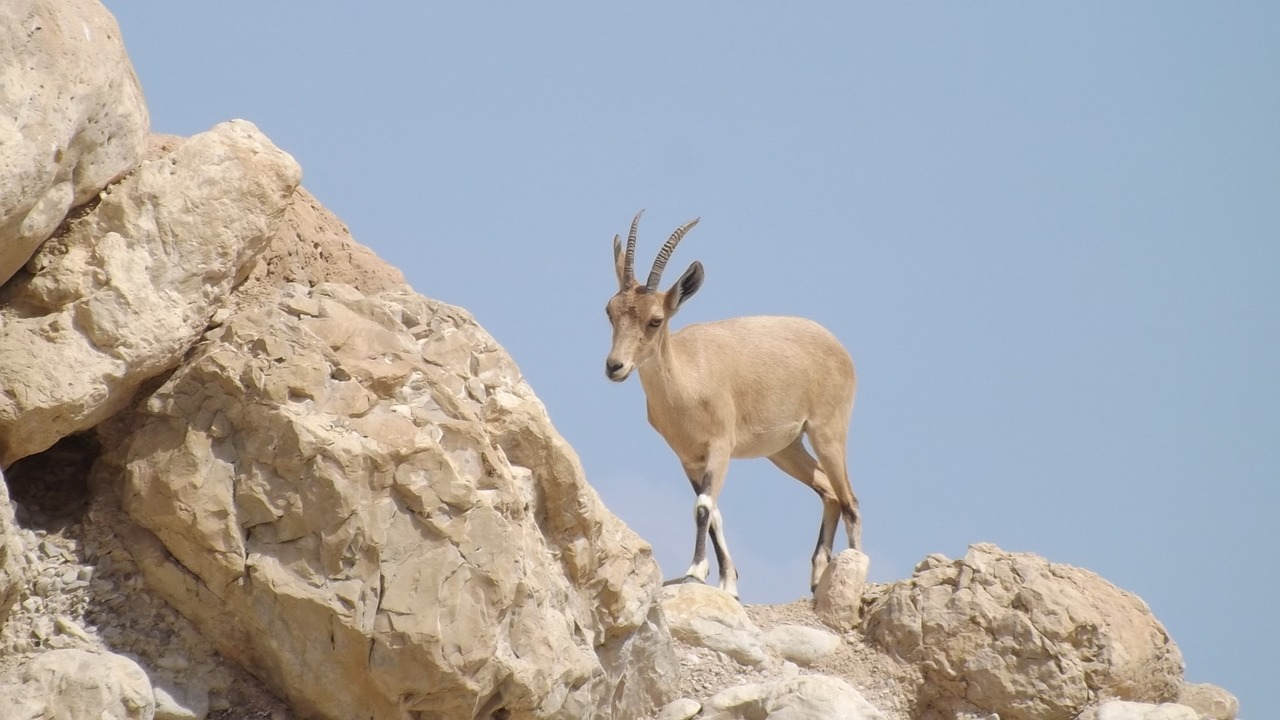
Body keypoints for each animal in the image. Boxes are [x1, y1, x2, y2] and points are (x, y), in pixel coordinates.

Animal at [601, 210, 860, 597]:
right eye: (610, 311)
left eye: (655, 320)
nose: (615, 366)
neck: (688, 382)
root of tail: (839, 348)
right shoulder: (689, 459)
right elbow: (714, 513)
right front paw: (727, 583)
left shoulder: (720, 447)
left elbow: (703, 508)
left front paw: (695, 571)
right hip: (785, 449)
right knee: (828, 492)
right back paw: (817, 578)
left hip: (828, 431)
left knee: (849, 501)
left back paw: (858, 573)